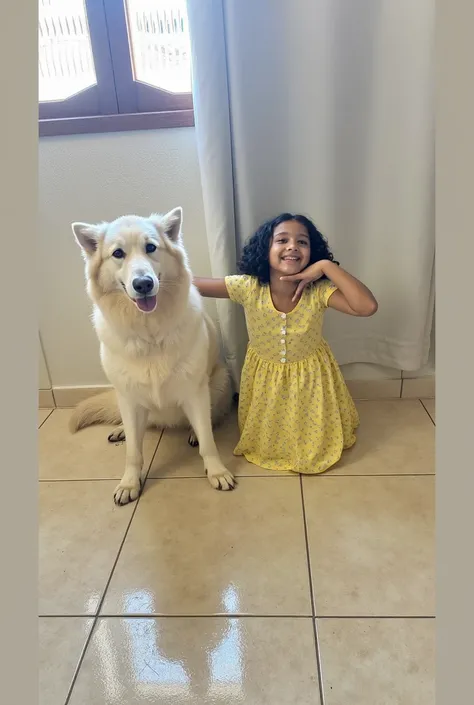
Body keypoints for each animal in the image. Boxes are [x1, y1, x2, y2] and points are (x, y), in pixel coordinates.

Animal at [69, 206, 235, 504]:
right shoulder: (128, 395)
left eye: (150, 247)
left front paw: (216, 471)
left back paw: (192, 432)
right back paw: (122, 430)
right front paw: (129, 482)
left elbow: (208, 441)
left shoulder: (194, 391)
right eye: (118, 253)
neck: (149, 333)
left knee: (207, 420)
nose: (144, 283)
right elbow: (134, 452)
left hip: (219, 382)